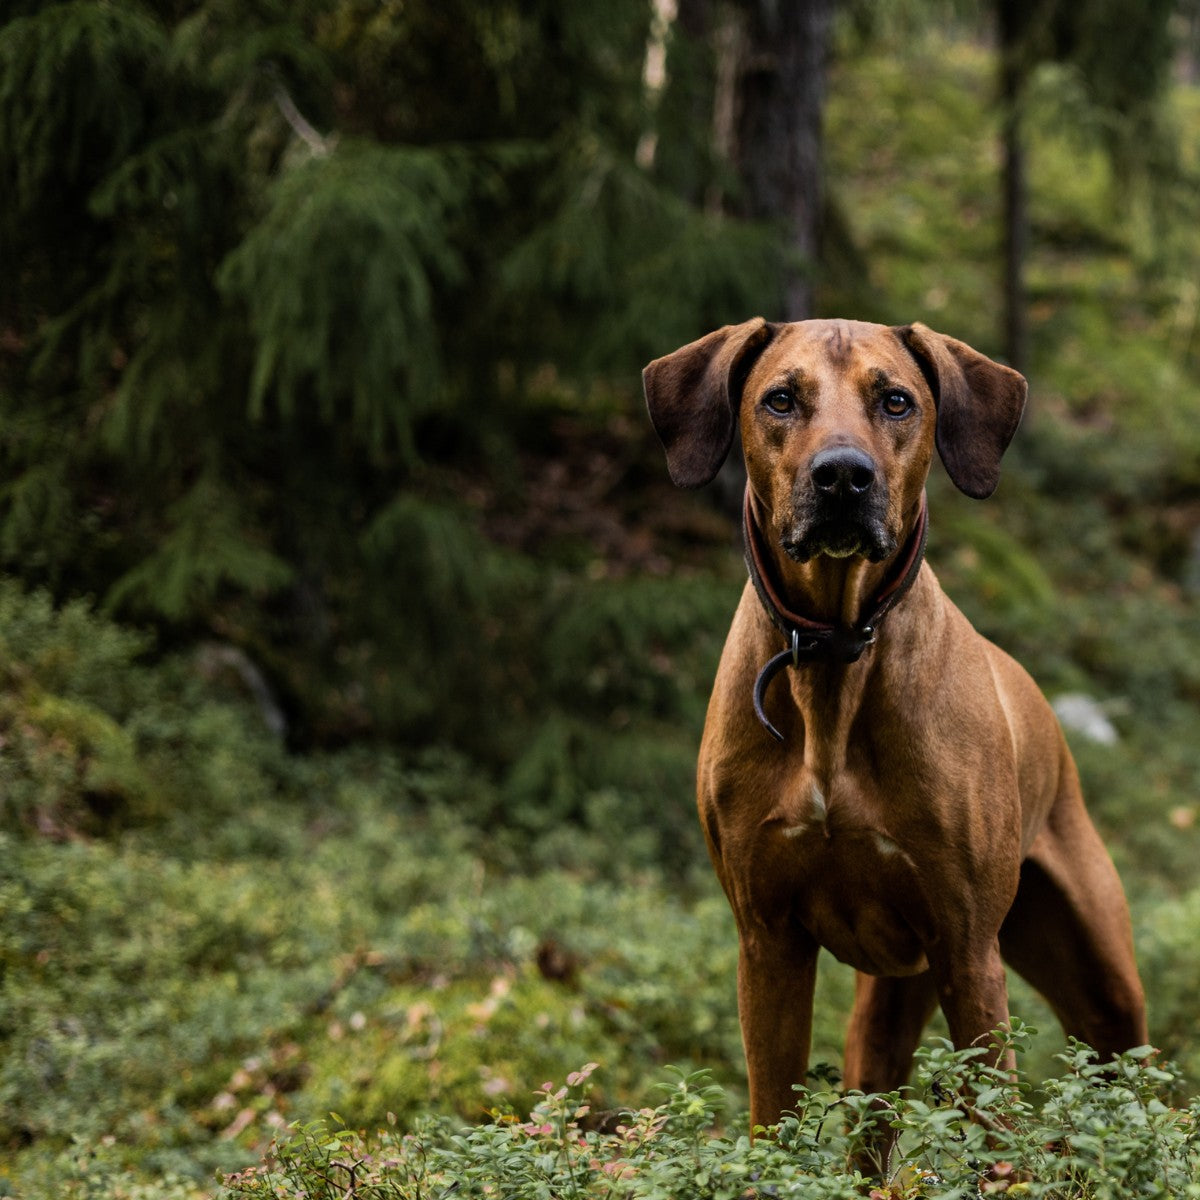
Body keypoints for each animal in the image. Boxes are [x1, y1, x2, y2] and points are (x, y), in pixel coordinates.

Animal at [643, 316, 1147, 1123]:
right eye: (780, 399)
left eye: (897, 401)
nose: (843, 476)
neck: (835, 651)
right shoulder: (767, 939)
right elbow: (771, 1115)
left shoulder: (969, 949)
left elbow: (996, 1129)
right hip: (887, 1008)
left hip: (1104, 994)